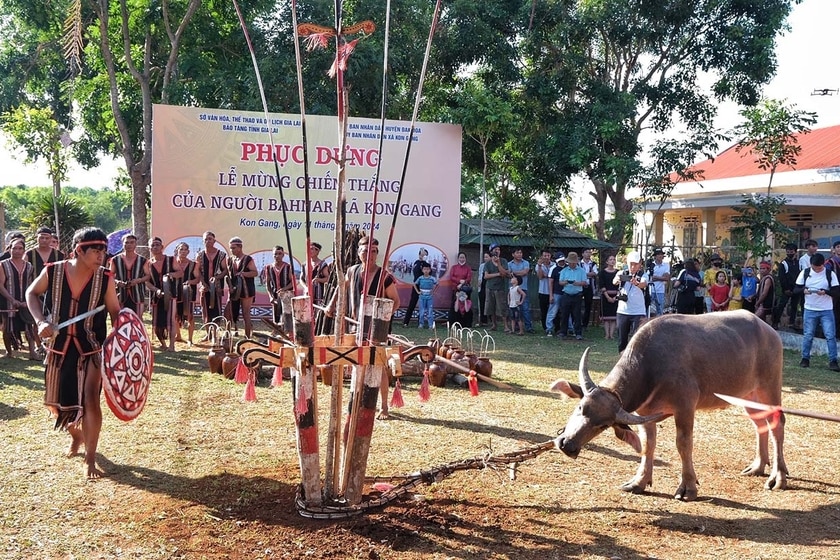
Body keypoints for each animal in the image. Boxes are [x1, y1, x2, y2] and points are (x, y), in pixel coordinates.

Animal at [552, 310, 788, 498]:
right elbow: (647, 445)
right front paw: (639, 482)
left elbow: (683, 443)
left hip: (770, 386)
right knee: (760, 424)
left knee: (777, 423)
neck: (651, 364)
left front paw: (688, 487)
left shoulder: (685, 407)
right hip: (748, 395)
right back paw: (758, 466)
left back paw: (778, 476)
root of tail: (769, 331)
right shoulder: (645, 413)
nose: (567, 444)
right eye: (581, 407)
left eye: (603, 425)